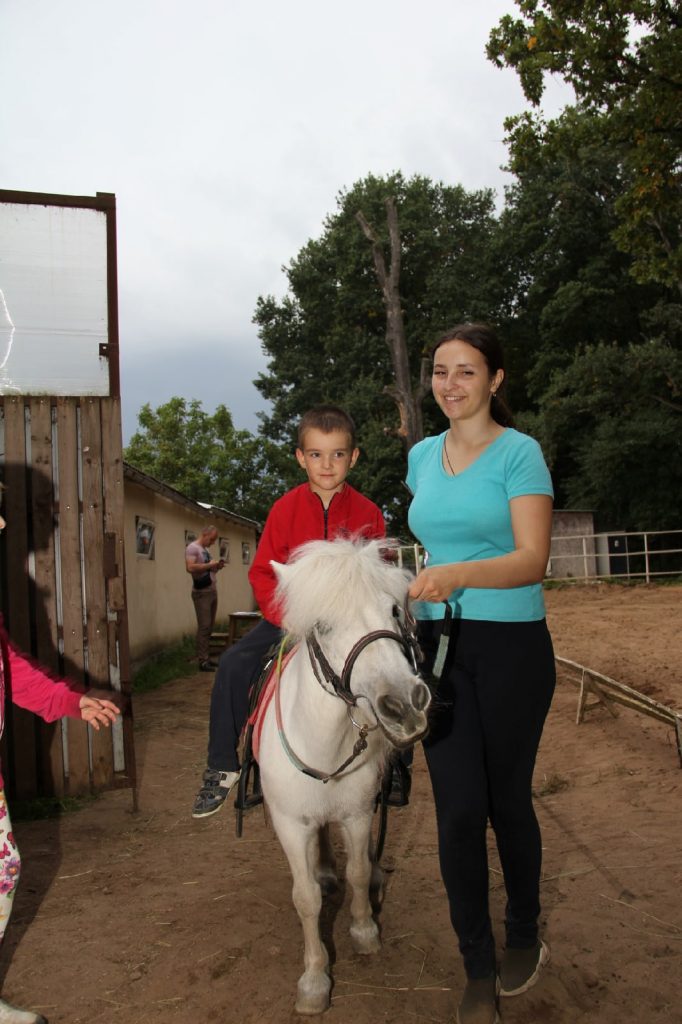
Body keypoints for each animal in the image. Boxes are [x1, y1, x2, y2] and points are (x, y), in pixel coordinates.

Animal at [256, 537, 431, 1015]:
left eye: (394, 610)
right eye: (323, 625)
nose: (405, 705)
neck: (327, 743)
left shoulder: (357, 814)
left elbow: (356, 871)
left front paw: (365, 930)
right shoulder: (290, 824)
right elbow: (306, 898)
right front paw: (315, 980)